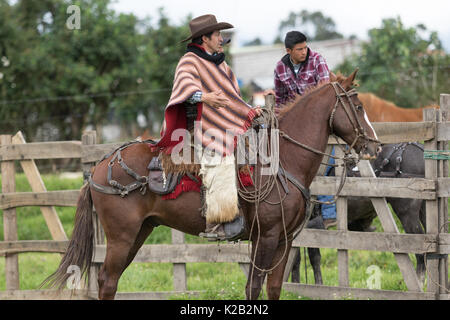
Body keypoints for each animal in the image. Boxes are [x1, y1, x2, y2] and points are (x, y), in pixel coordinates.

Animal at [41, 69, 380, 298]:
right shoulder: (266, 237)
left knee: (112, 279)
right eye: (359, 107)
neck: (283, 160)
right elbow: (254, 287)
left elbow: (273, 288)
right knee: (107, 279)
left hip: (139, 233)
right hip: (121, 237)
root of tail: (101, 168)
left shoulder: (284, 240)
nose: (374, 146)